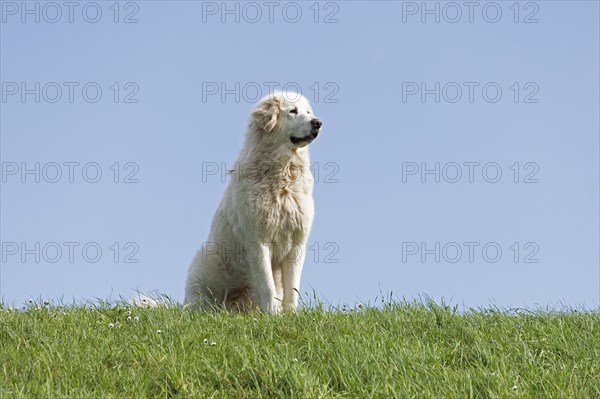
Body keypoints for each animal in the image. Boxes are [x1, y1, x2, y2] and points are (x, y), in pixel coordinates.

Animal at [184, 92, 322, 314]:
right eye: (293, 111)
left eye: (308, 112)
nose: (317, 122)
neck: (284, 176)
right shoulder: (258, 242)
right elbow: (267, 285)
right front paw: (273, 314)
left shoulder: (297, 243)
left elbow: (292, 289)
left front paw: (291, 315)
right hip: (205, 261)